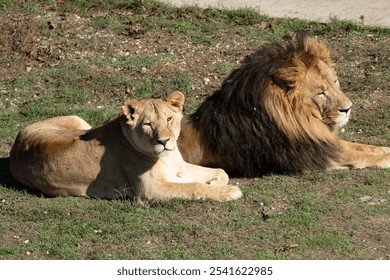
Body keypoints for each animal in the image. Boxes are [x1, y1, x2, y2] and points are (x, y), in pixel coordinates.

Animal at [9, 93, 241, 202]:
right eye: (148, 124)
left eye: (169, 119)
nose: (164, 141)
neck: (166, 157)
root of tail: (14, 147)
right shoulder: (150, 190)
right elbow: (194, 187)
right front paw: (228, 191)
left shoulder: (180, 168)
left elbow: (221, 171)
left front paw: (214, 183)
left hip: (80, 122)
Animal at [177, 34, 390, 175]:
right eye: (320, 92)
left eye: (335, 82)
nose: (348, 108)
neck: (302, 119)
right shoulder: (313, 156)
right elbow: (357, 155)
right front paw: (386, 158)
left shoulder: (319, 141)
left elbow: (358, 146)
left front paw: (384, 149)